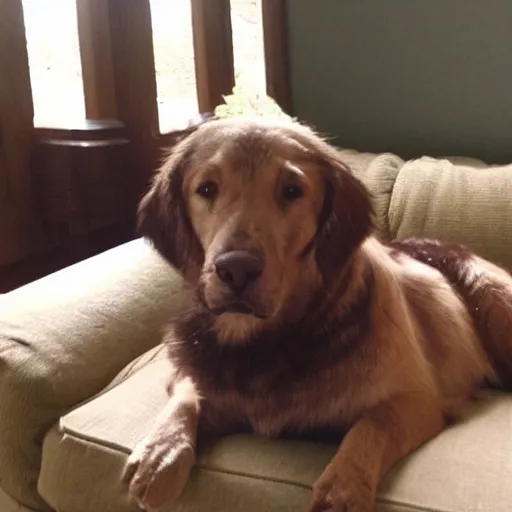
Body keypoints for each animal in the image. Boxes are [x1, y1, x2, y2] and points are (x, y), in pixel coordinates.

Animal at [122, 117, 512, 512]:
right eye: (206, 188)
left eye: (292, 190)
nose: (236, 270)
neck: (264, 344)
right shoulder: (193, 370)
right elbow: (188, 395)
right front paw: (159, 453)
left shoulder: (419, 400)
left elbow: (373, 423)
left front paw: (343, 488)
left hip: (495, 300)